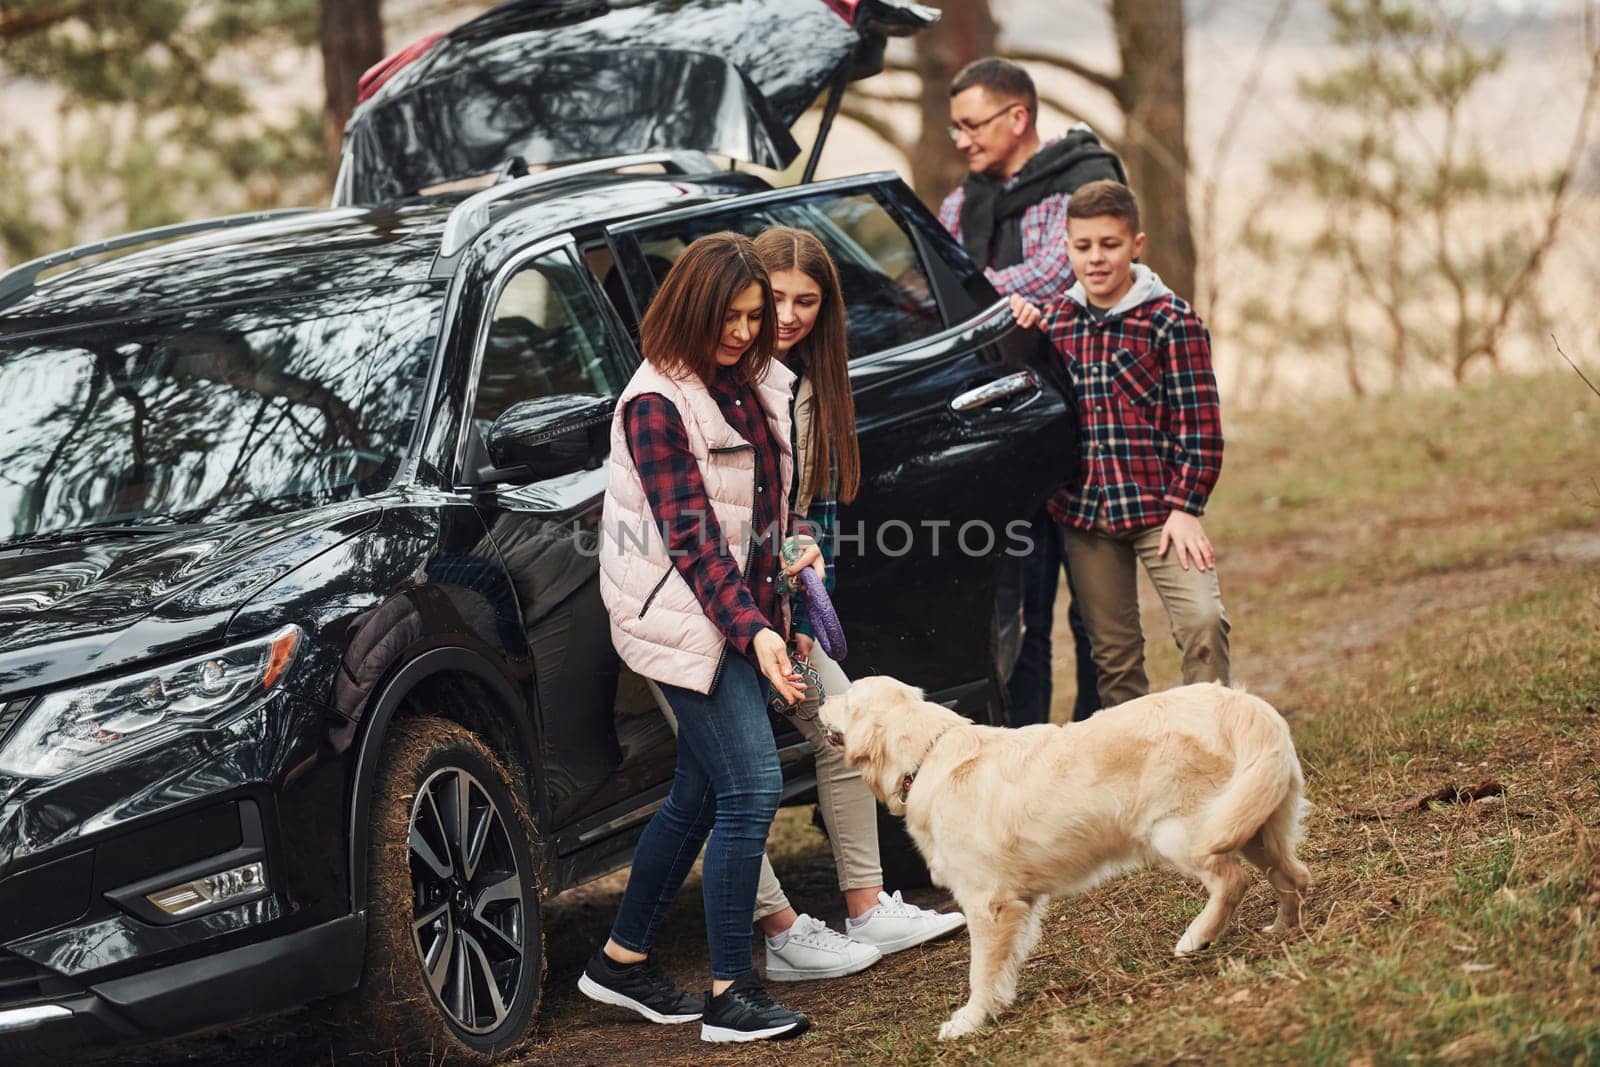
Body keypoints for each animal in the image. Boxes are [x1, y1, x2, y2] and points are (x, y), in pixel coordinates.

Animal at [819, 681, 1305, 1036]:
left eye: (848, 696)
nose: (818, 697)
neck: (927, 754)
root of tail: (1235, 700)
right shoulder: (1018, 903)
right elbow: (1003, 965)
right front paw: (997, 1005)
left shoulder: (987, 903)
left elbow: (980, 971)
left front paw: (969, 1022)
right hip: (1251, 821)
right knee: (1294, 876)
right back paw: (1281, 929)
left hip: (1183, 832)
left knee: (1233, 881)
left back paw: (1197, 937)